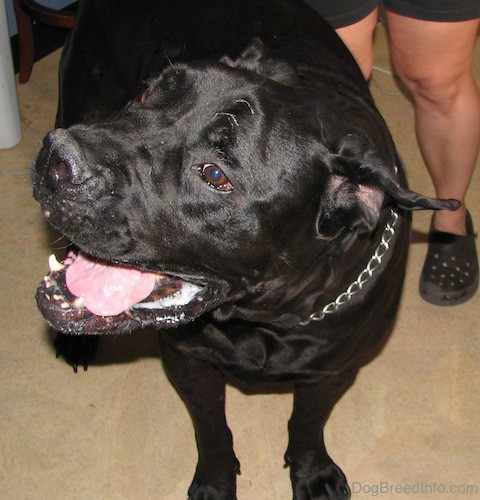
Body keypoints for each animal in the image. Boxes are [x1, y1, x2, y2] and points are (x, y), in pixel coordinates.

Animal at [32, 1, 458, 498]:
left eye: (215, 175)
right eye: (146, 94)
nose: (59, 159)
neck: (261, 319)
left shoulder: (332, 372)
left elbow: (308, 423)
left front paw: (312, 472)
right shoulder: (189, 359)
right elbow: (211, 429)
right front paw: (215, 483)